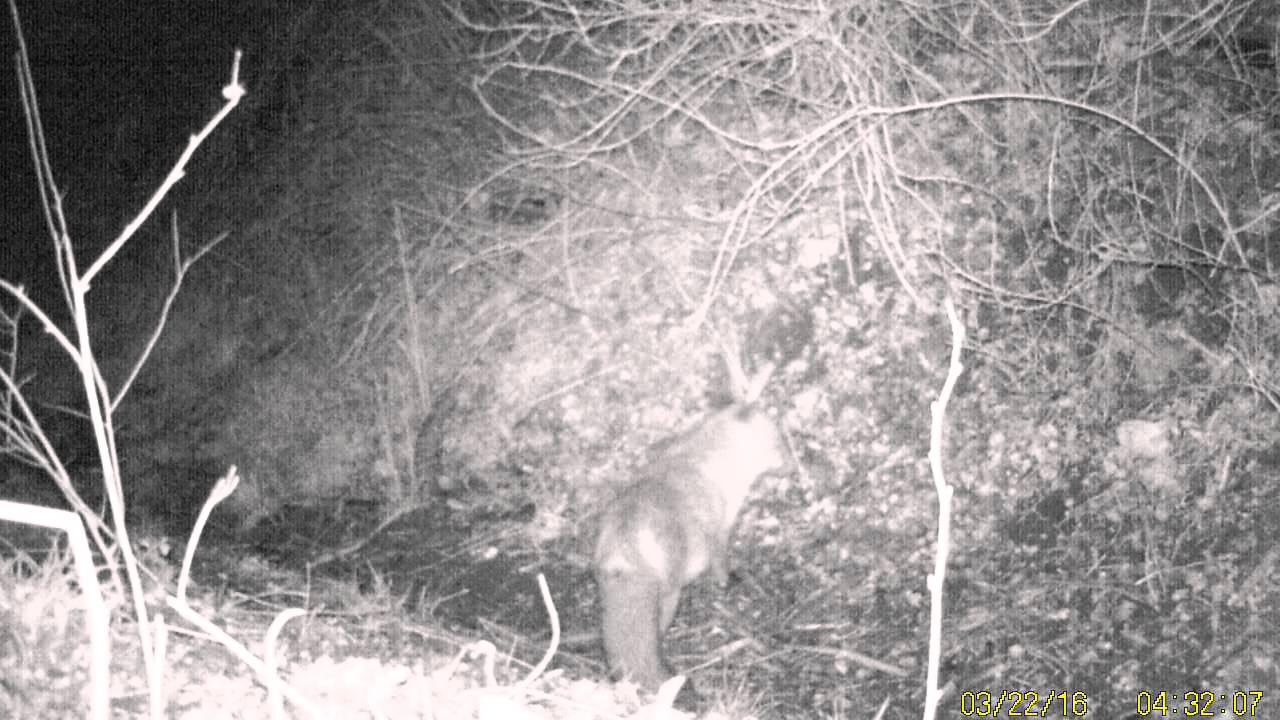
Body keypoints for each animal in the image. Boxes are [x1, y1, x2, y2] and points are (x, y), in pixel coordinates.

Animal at [593, 363, 793, 691]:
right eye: (777, 434)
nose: (790, 462)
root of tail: (624, 551)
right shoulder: (721, 528)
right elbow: (722, 566)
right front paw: (729, 583)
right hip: (668, 593)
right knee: (653, 638)